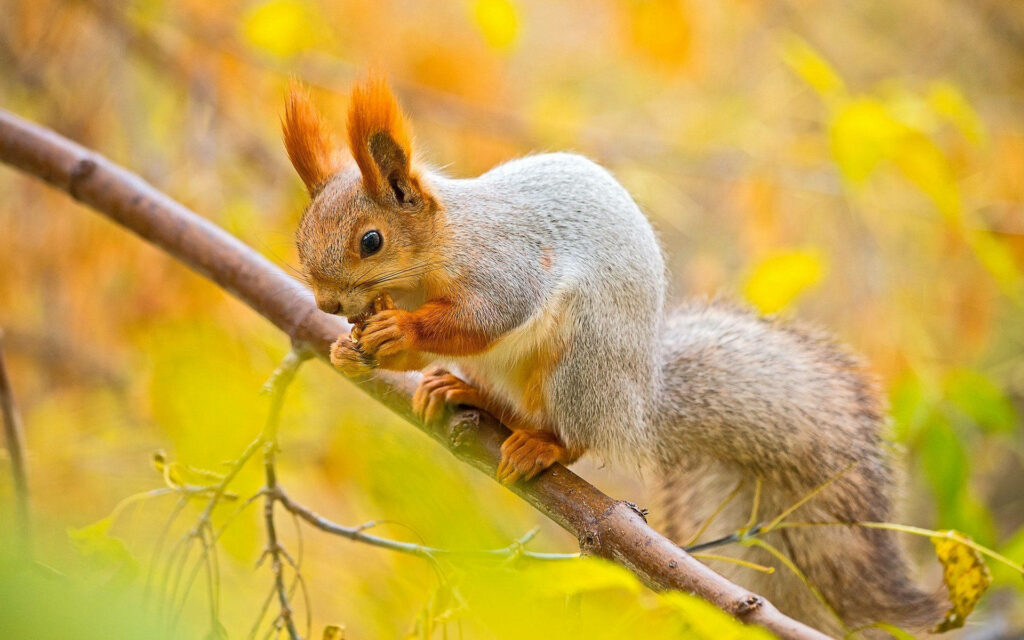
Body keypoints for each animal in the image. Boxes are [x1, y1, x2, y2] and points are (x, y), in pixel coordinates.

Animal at [282, 75, 943, 635]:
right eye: (301, 236)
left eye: (371, 241)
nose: (327, 302)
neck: (428, 262)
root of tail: (636, 405)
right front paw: (346, 349)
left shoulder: (505, 264)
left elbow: (487, 317)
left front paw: (400, 330)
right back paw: (460, 391)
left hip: (582, 361)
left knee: (577, 433)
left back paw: (542, 444)